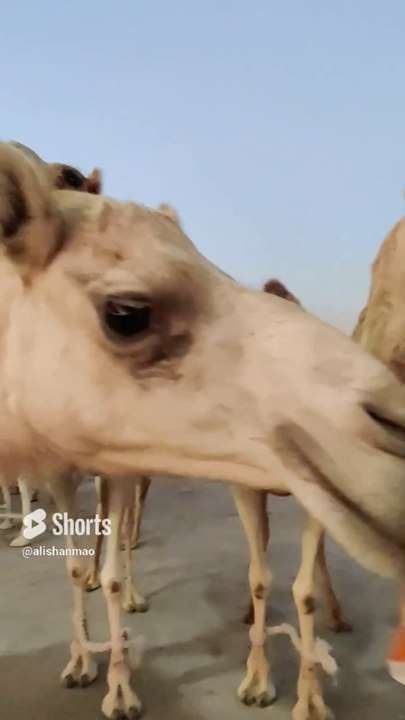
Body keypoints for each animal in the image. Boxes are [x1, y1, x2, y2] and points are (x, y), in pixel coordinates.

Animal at [1, 141, 405, 720]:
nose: (391, 428)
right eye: (127, 313)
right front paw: (86, 668)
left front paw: (307, 699)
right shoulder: (69, 470)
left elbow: (297, 587)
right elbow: (82, 568)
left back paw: (333, 613)